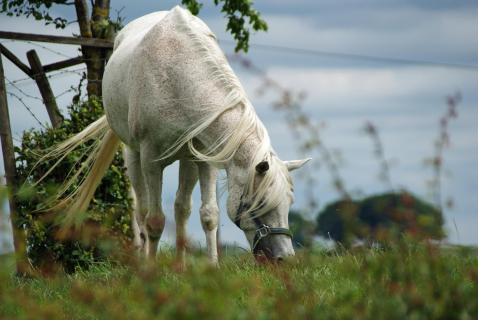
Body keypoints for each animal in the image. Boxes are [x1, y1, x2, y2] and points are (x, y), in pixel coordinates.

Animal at [44, 6, 310, 264]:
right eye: (261, 203)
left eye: (289, 203)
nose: (284, 258)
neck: (180, 77)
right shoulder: (151, 162)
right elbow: (154, 221)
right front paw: (150, 271)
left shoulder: (205, 160)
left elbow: (209, 215)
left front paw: (212, 268)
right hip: (133, 156)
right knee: (141, 211)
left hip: (187, 160)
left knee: (182, 208)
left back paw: (181, 267)